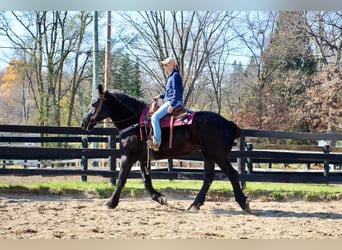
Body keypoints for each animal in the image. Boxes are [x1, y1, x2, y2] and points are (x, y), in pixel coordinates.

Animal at [81, 85, 250, 212]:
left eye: (94, 103)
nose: (84, 122)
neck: (136, 122)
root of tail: (228, 123)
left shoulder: (128, 156)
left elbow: (121, 179)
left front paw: (111, 203)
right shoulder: (143, 159)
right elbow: (146, 181)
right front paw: (160, 198)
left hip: (218, 156)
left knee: (232, 174)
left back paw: (243, 203)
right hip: (209, 155)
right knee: (208, 178)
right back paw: (194, 204)